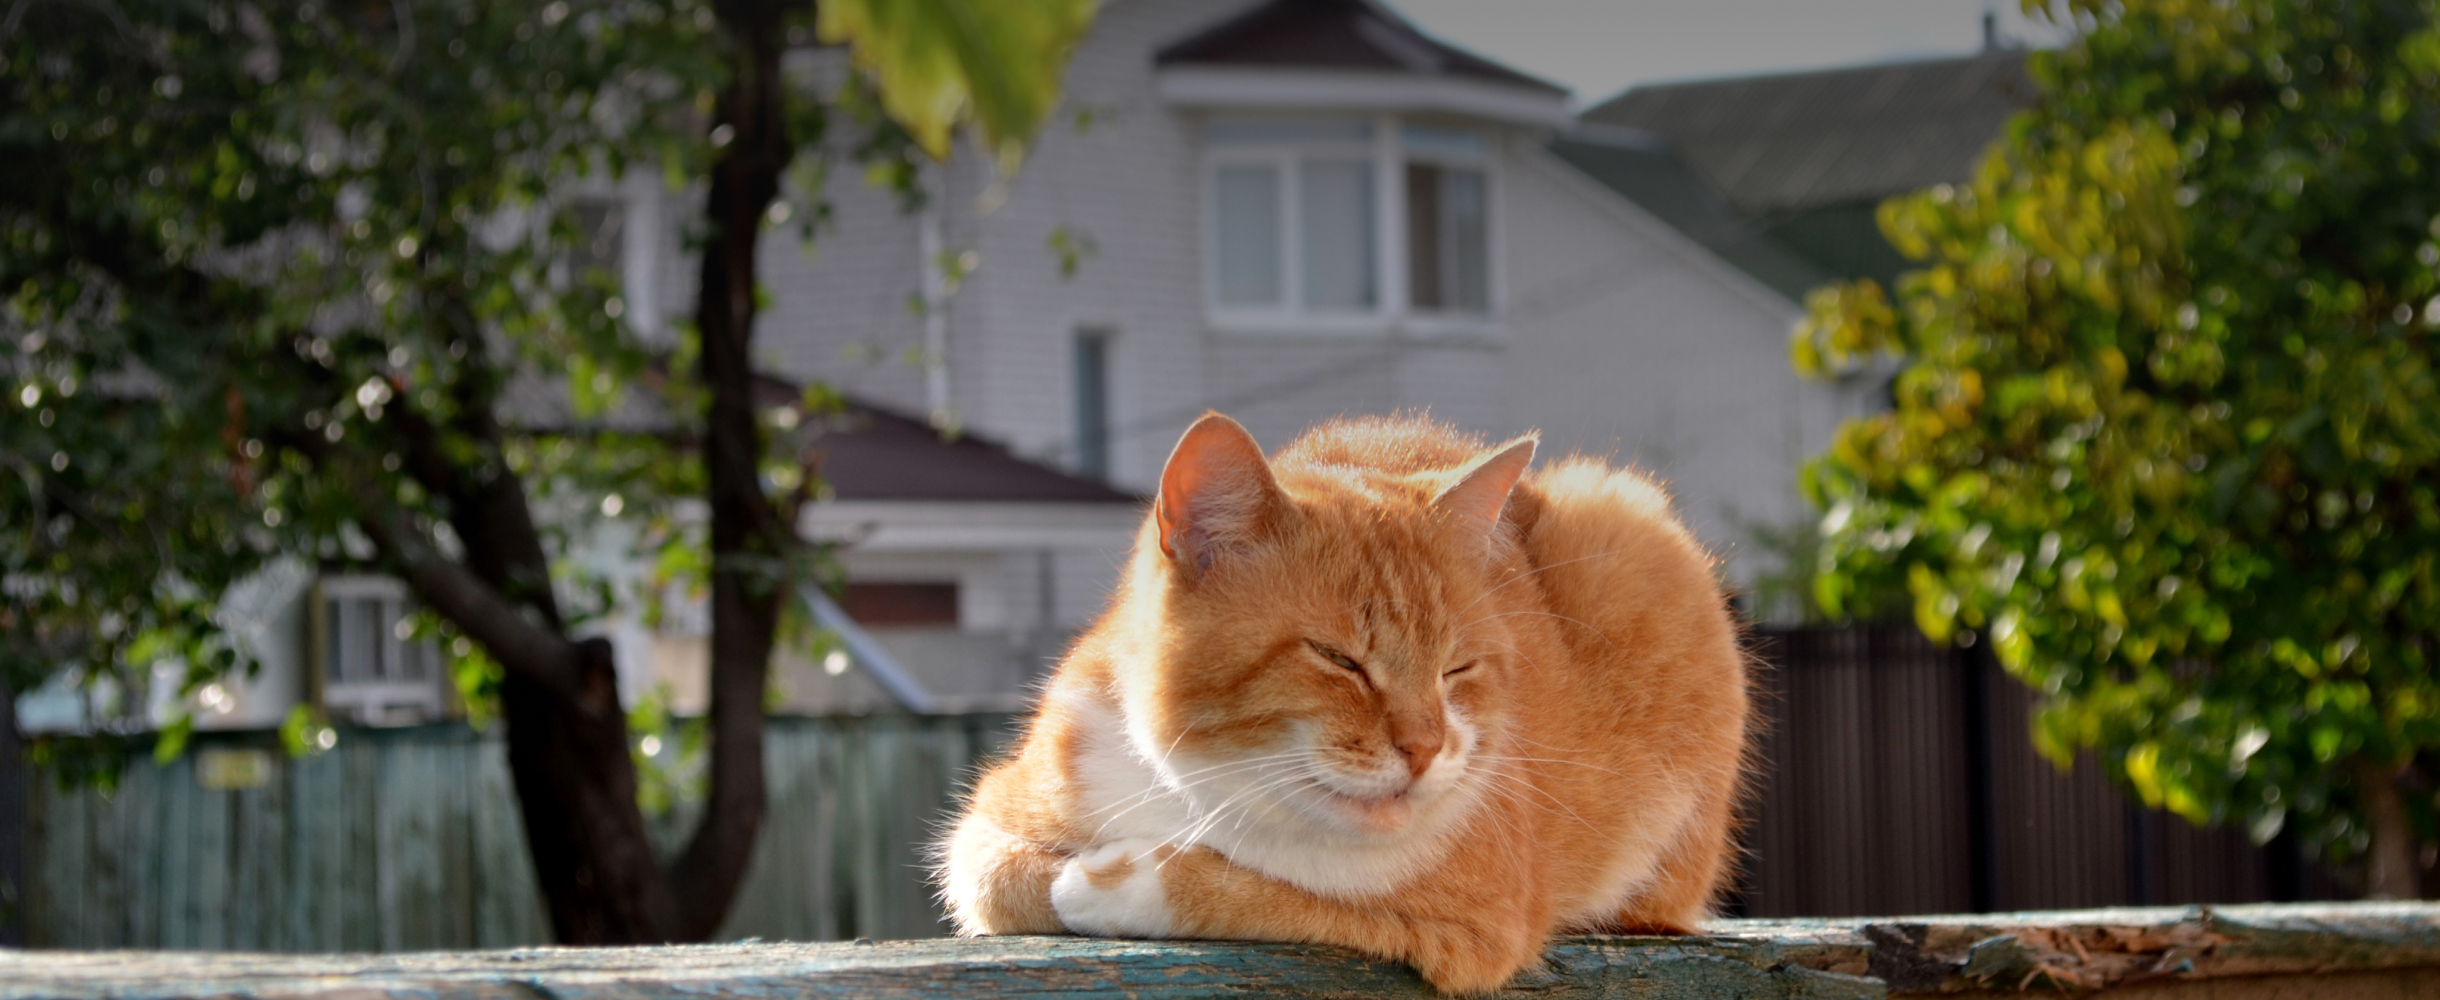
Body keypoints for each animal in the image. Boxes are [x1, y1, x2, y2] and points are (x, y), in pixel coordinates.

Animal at [932, 412, 1756, 990]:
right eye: (1339, 660)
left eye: (1457, 669)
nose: (1426, 748)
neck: (1209, 790)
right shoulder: (994, 819)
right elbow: (1001, 880)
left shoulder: (1475, 923)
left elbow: (1284, 897)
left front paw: (1116, 882)